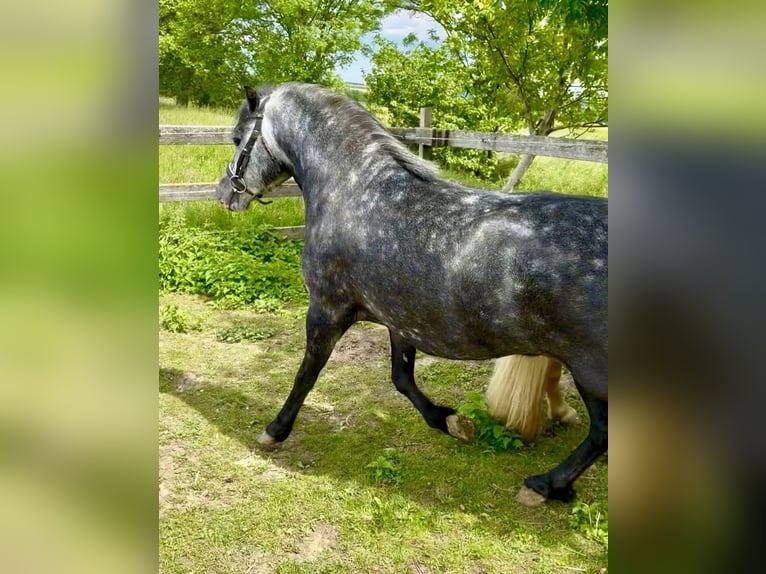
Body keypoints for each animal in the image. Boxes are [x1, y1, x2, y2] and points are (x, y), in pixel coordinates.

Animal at [215, 82, 607, 503]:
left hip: (591, 370)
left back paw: (543, 485)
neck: (357, 192)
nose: (223, 193)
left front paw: (274, 430)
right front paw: (451, 421)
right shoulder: (399, 320)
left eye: (238, 138)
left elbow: (307, 373)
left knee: (601, 433)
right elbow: (402, 380)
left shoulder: (326, 310)